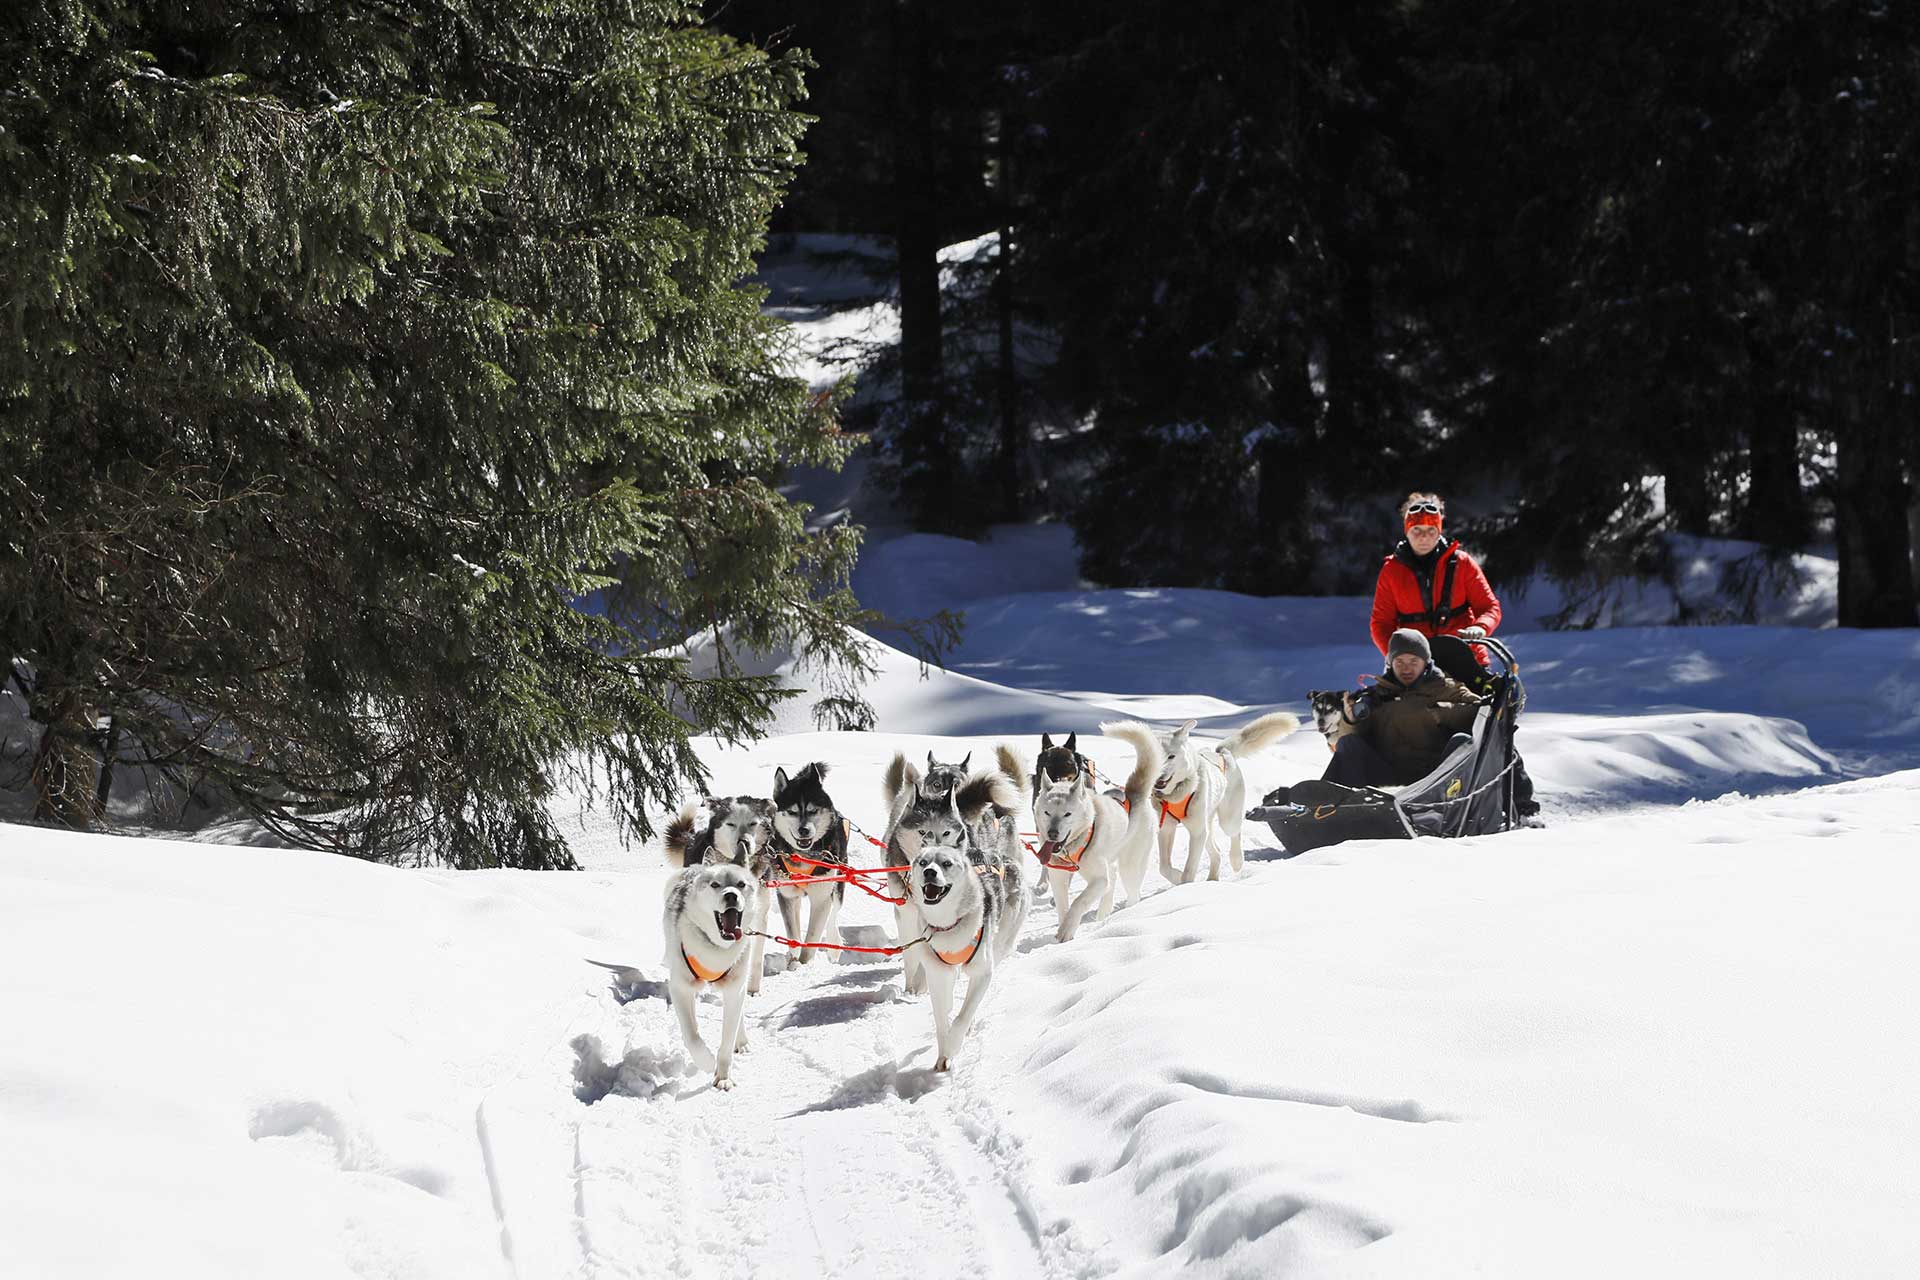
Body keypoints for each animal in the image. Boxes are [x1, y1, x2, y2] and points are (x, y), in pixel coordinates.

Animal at [656, 859, 752, 1090]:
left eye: (741, 884)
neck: (716, 949)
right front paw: (707, 1061)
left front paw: (723, 1077)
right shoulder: (680, 988)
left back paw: (742, 1040)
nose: (731, 895)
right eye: (715, 885)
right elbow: (692, 1036)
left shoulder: (734, 989)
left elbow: (727, 1040)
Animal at [768, 767, 852, 967]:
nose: (803, 830)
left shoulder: (822, 897)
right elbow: (793, 934)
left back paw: (834, 944)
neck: (806, 855)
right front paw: (793, 963)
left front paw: (805, 965)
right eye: (792, 811)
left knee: (833, 915)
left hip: (838, 883)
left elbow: (813, 936)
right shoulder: (787, 895)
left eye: (813, 810)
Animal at [902, 790, 1029, 1074]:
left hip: (999, 944)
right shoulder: (938, 973)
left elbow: (962, 1017)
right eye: (923, 863)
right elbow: (942, 1018)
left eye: (946, 863)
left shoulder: (982, 972)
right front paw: (943, 1053)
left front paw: (953, 1046)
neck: (949, 923)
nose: (929, 872)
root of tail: (1000, 857)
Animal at [1036, 721, 1152, 940]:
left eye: (1067, 814)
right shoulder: (1058, 877)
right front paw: (1064, 928)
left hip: (1130, 866)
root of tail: (1133, 795)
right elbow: (1063, 906)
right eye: (1047, 812)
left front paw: (1067, 929)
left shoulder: (1099, 880)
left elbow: (1079, 901)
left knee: (1132, 891)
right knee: (1113, 879)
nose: (1052, 834)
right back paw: (1103, 913)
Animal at [1144, 717, 1297, 886]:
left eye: (1171, 756)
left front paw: (1185, 885)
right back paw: (1212, 879)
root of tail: (1223, 754)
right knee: (1216, 852)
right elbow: (1164, 868)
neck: (1176, 793)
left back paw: (1237, 860)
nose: (1159, 776)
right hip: (1207, 826)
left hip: (1226, 820)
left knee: (1235, 833)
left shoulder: (1197, 832)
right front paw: (1178, 878)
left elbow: (1189, 870)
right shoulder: (1166, 829)